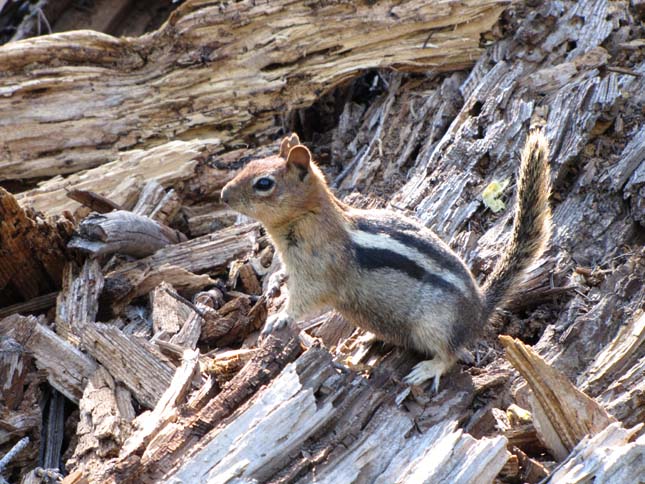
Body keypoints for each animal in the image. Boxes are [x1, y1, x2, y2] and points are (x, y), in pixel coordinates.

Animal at [220, 132, 548, 394]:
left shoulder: (319, 274)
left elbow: (306, 299)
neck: (309, 216)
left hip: (435, 325)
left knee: (451, 354)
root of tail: (479, 311)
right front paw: (274, 287)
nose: (223, 194)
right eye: (249, 166)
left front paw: (279, 318)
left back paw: (427, 369)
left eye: (264, 183)